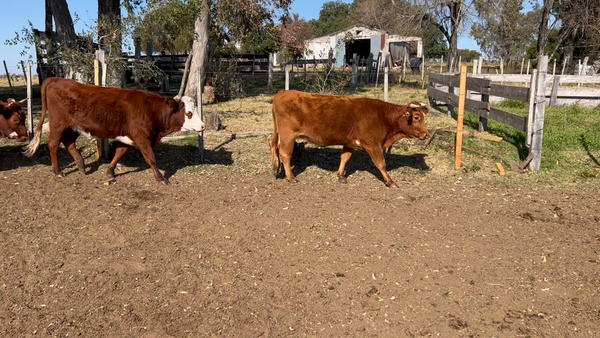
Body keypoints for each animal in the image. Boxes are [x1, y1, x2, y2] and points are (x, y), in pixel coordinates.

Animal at [25, 77, 206, 185]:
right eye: (189, 113)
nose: (203, 126)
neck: (151, 110)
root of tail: (56, 79)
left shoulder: (129, 137)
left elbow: (119, 153)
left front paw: (110, 172)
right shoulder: (142, 138)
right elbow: (151, 159)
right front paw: (161, 178)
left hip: (74, 126)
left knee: (68, 142)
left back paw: (82, 166)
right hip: (58, 124)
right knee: (53, 144)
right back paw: (58, 172)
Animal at [270, 90, 428, 187]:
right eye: (416, 117)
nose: (426, 134)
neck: (383, 116)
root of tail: (283, 92)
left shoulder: (350, 143)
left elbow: (344, 158)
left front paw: (341, 176)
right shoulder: (373, 144)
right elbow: (381, 164)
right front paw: (390, 182)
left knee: (273, 144)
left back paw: (276, 169)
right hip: (288, 136)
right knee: (285, 153)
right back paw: (291, 177)